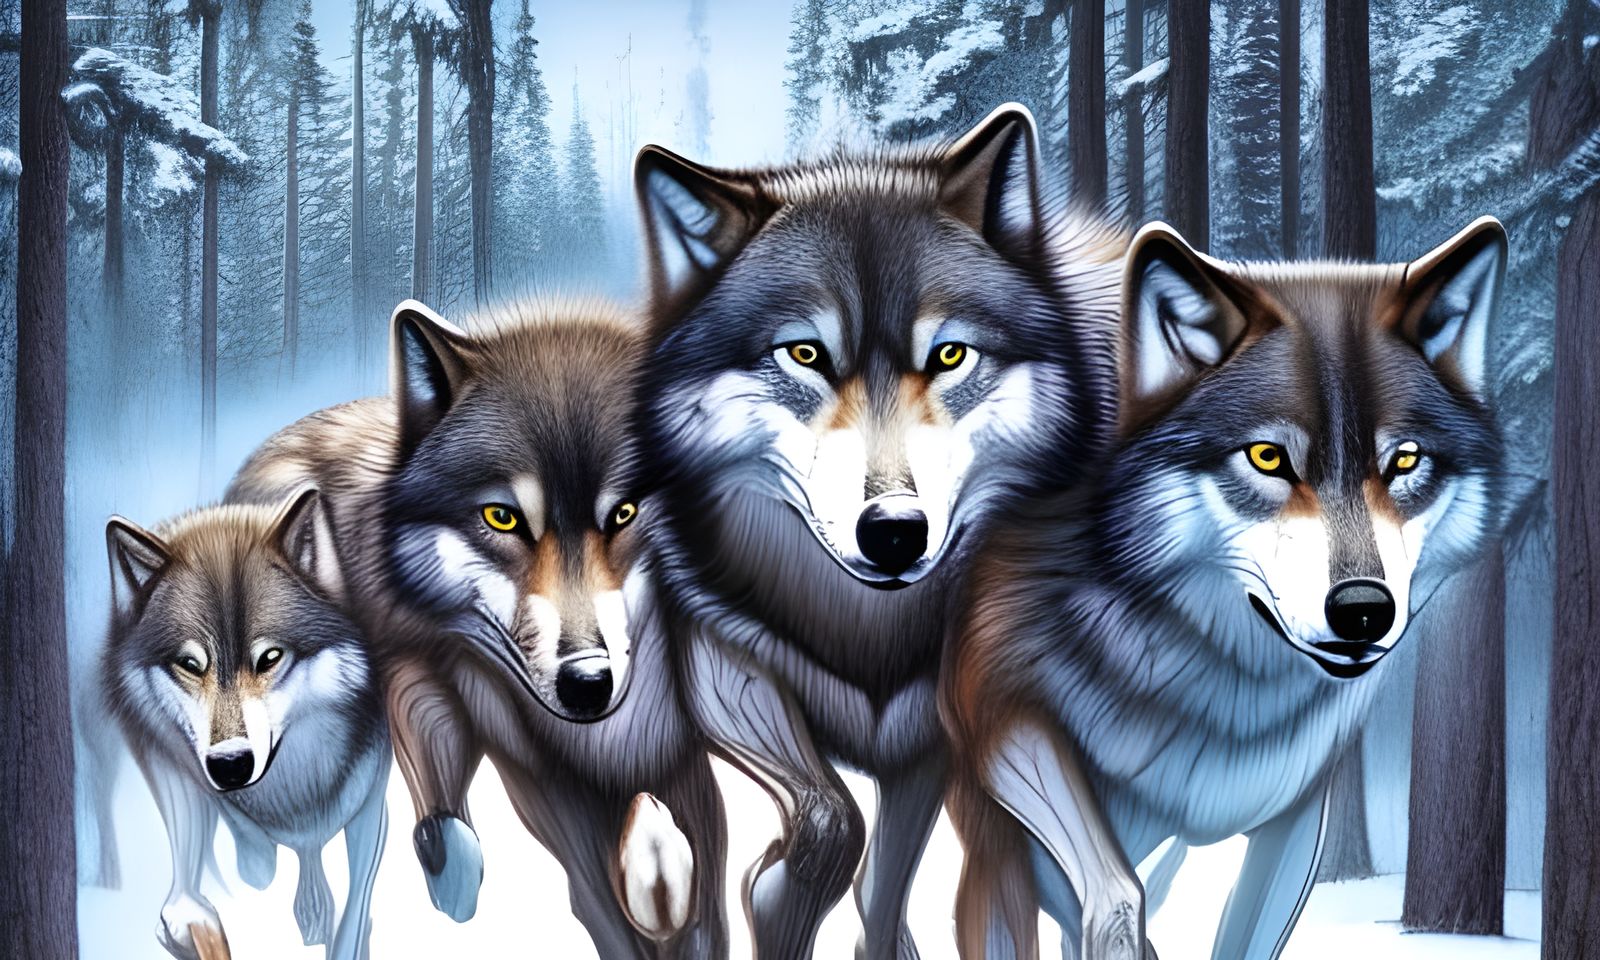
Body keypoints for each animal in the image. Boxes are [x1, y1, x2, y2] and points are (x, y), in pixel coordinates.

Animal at [101, 488, 389, 960]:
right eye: (190, 664)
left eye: (269, 657)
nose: (231, 764)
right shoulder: (170, 764)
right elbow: (212, 888)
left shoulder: (371, 799)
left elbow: (352, 916)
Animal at [225, 298, 725, 959]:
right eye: (502, 518)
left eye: (624, 513)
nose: (587, 682)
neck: (605, 747)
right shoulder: (534, 777)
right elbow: (605, 915)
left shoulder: (685, 768)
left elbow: (705, 916)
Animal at [631, 104, 1124, 959]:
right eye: (804, 354)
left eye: (950, 354)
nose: (895, 532)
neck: (866, 630)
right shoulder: (724, 659)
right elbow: (832, 825)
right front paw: (776, 894)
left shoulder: (929, 736)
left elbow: (881, 890)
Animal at [941, 216, 1509, 960]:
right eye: (1267, 457)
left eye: (1405, 460)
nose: (1363, 610)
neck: (1225, 700)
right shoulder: (1002, 721)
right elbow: (1116, 894)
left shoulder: (1294, 825)